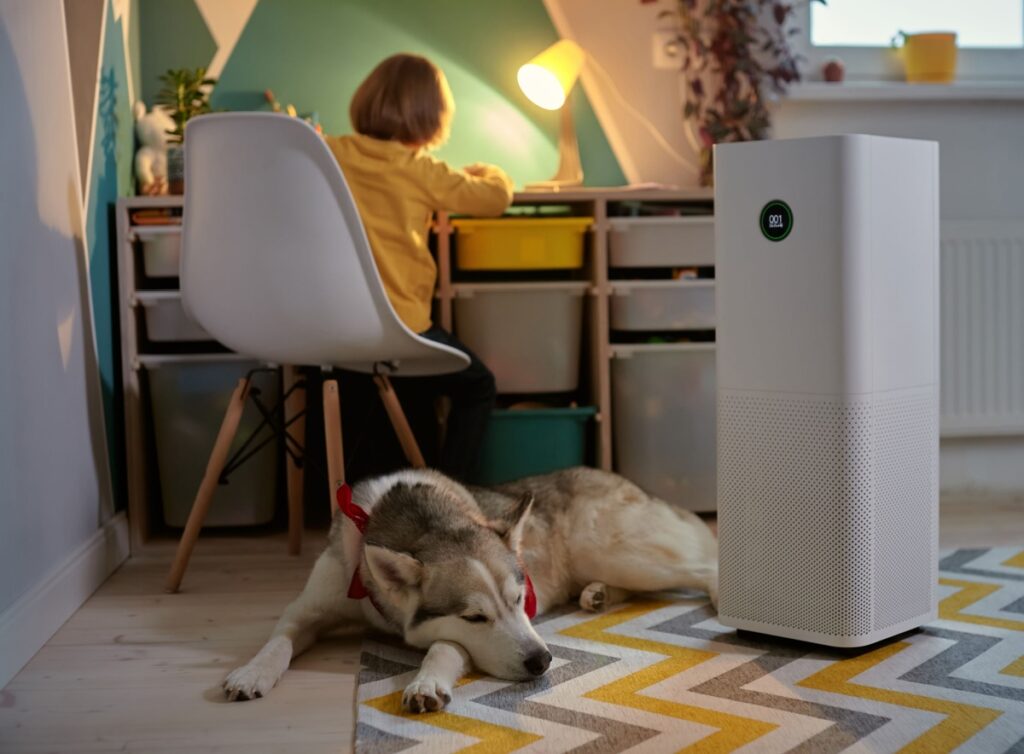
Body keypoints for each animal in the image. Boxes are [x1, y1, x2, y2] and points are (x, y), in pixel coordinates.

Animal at [222, 469, 720, 708]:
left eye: (519, 601)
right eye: (476, 617)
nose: (542, 661)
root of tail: (620, 477)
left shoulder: (451, 633)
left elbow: (443, 649)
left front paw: (426, 683)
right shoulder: (305, 609)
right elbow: (278, 641)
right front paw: (251, 673)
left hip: (613, 551)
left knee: (706, 566)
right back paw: (598, 594)